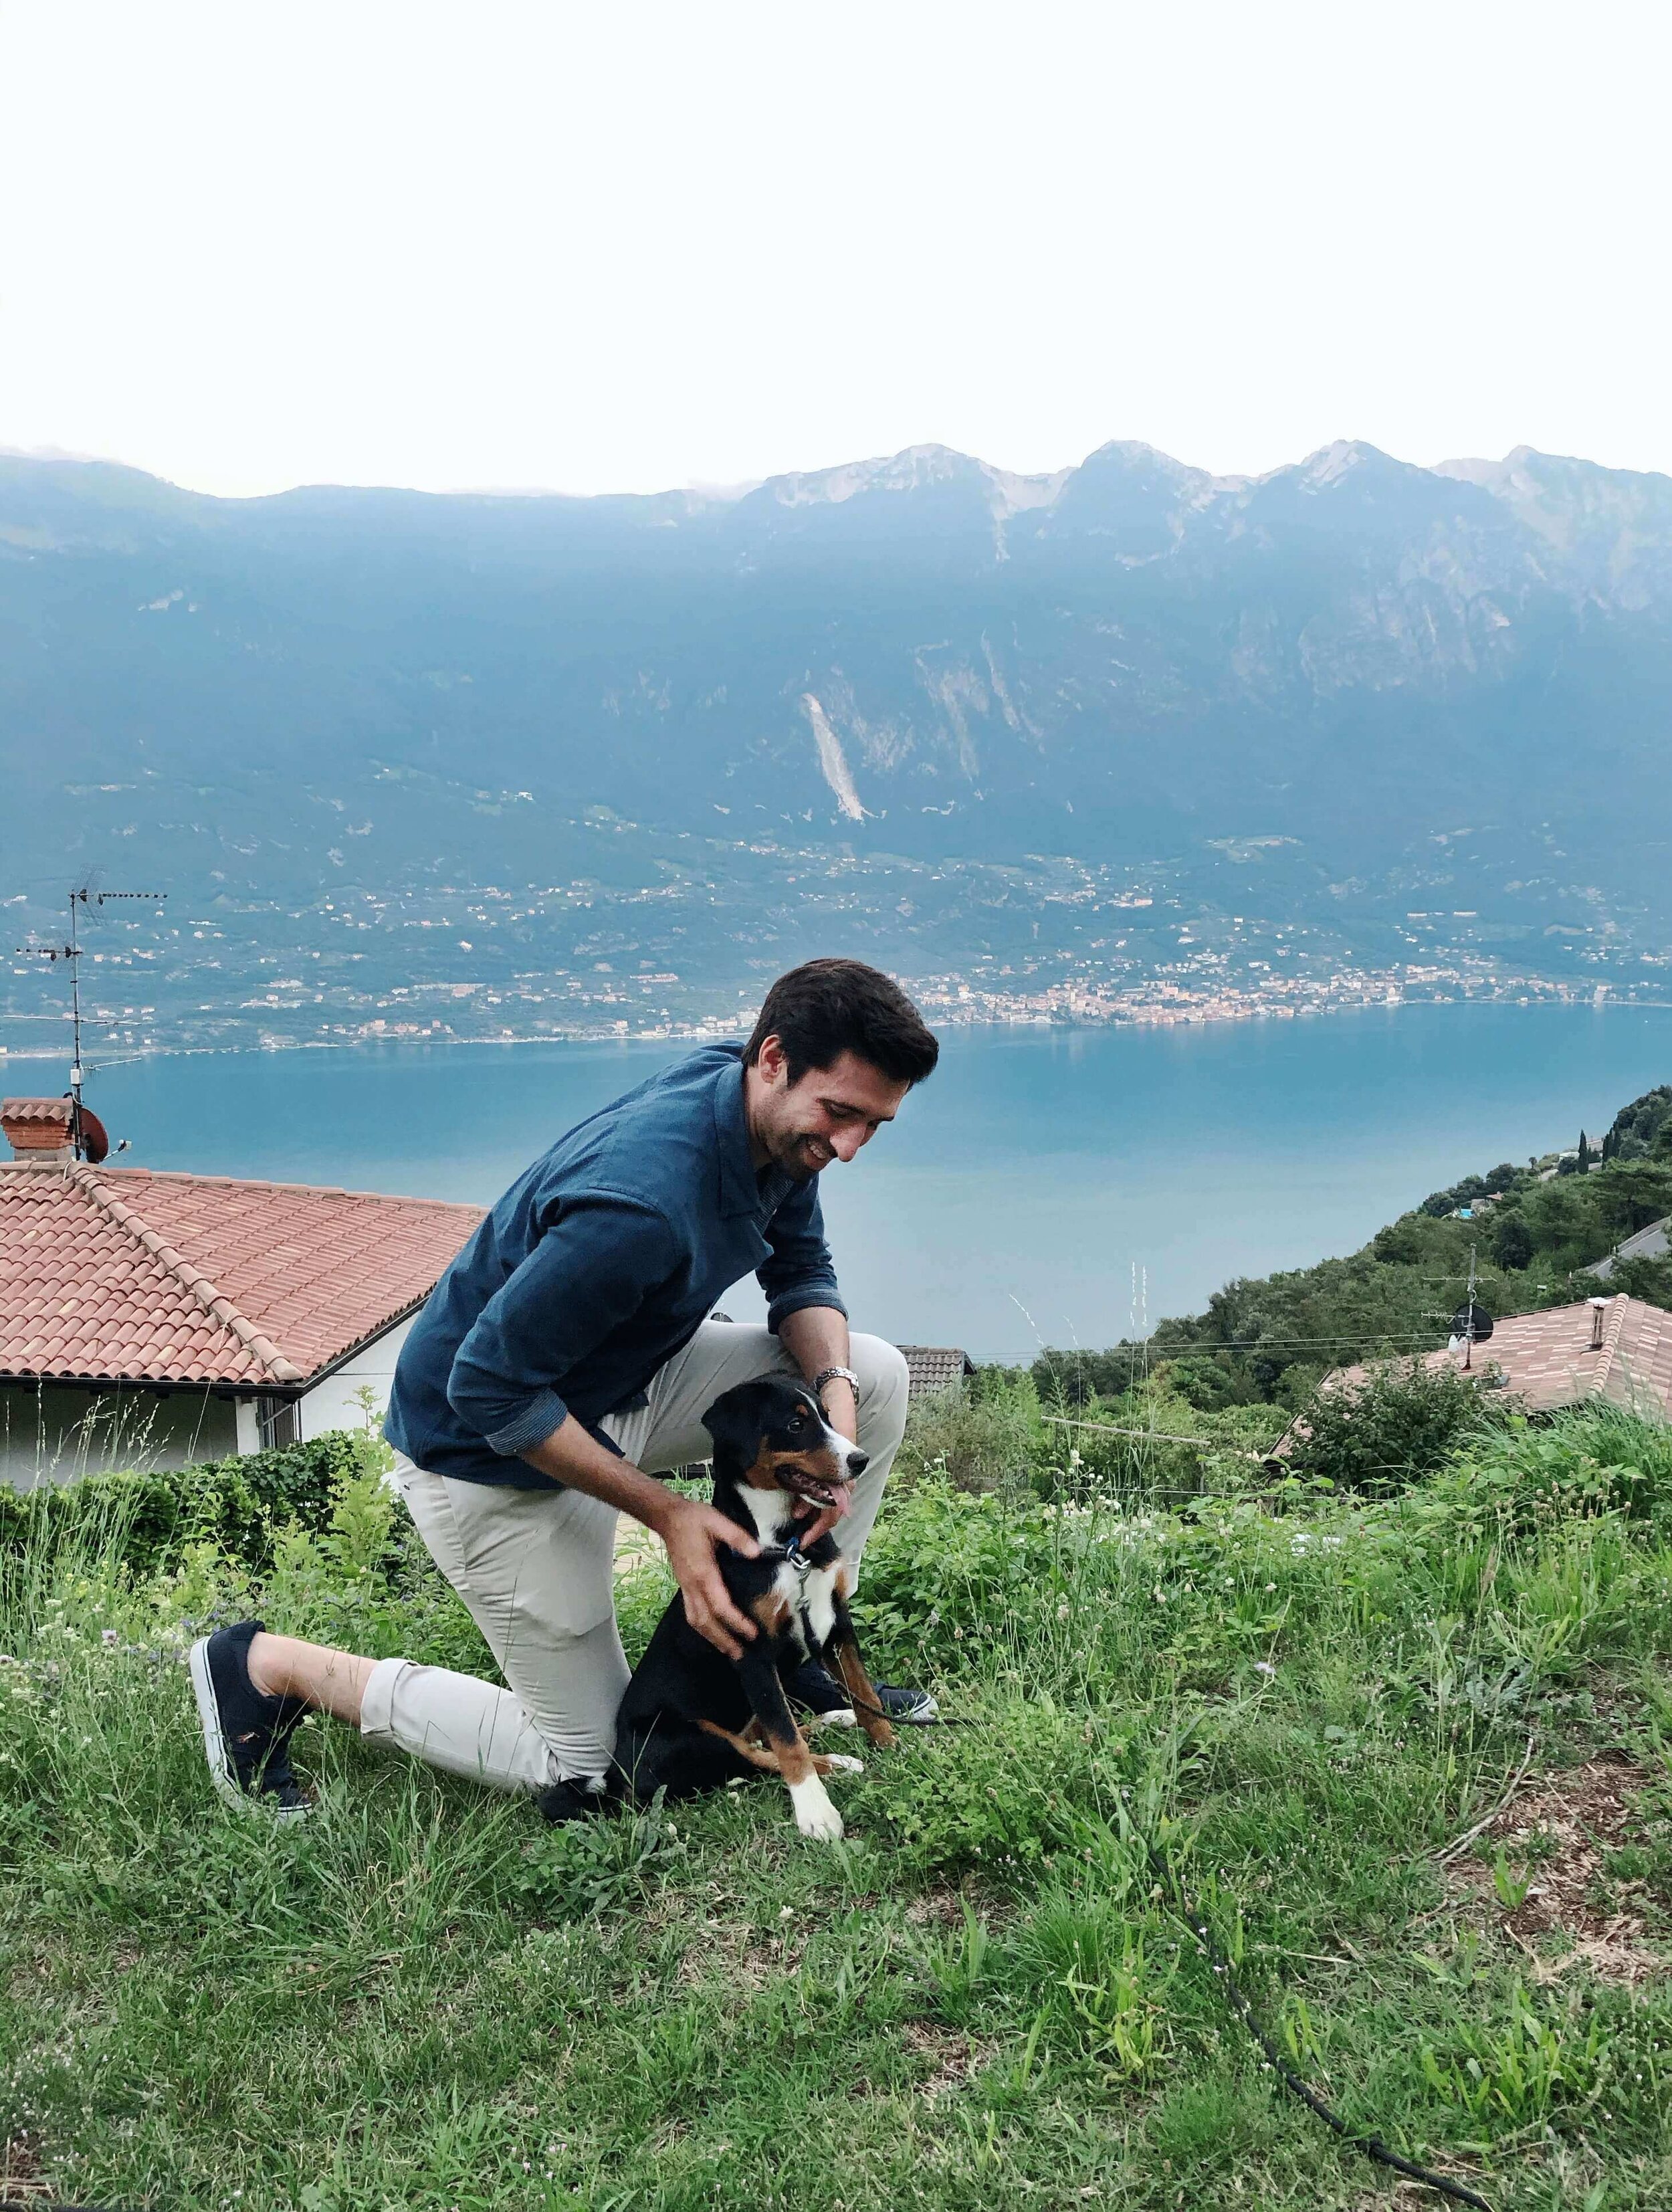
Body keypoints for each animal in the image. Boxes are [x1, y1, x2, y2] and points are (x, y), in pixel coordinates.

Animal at [615, 1371, 893, 1840]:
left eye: (826, 1415)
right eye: (796, 1425)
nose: (860, 1460)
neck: (787, 1546)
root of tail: (615, 1774)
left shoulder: (834, 1620)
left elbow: (862, 1689)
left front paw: (889, 1742)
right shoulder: (751, 1650)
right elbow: (786, 1741)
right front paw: (815, 1812)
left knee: (764, 1735)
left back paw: (836, 1720)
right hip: (691, 1735)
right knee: (757, 1753)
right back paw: (836, 1762)